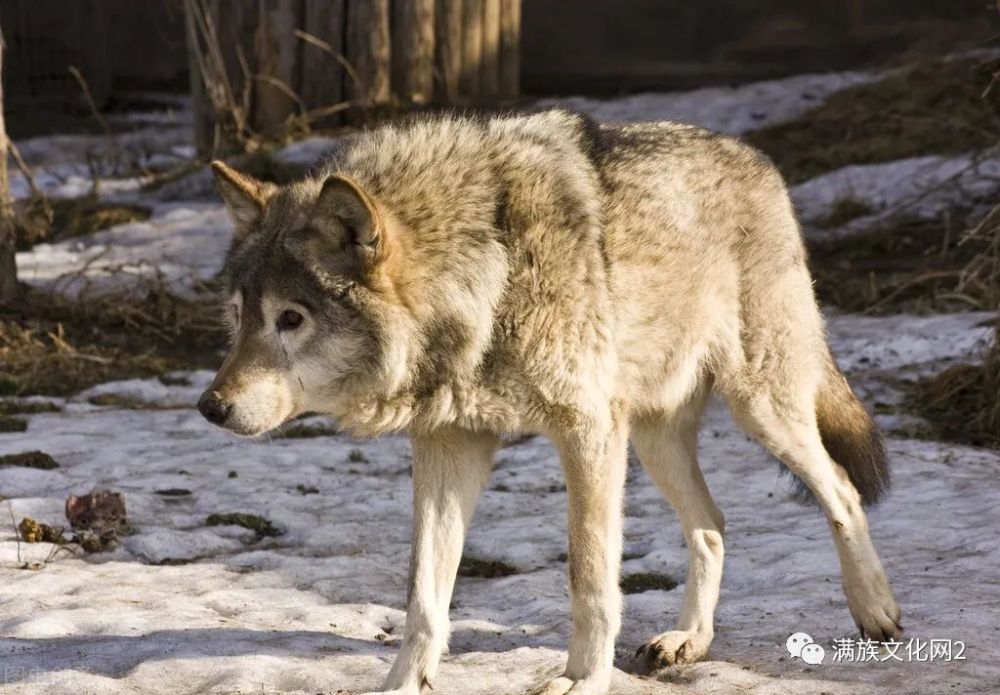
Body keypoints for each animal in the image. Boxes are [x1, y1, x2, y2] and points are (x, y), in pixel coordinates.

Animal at [199, 109, 904, 695]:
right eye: (239, 316)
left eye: (291, 319)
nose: (209, 406)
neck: (485, 274)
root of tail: (757, 159)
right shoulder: (450, 445)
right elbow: (424, 594)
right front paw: (402, 684)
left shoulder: (586, 432)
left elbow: (589, 579)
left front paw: (582, 680)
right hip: (652, 439)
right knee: (713, 524)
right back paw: (689, 641)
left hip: (759, 410)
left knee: (842, 490)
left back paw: (876, 612)